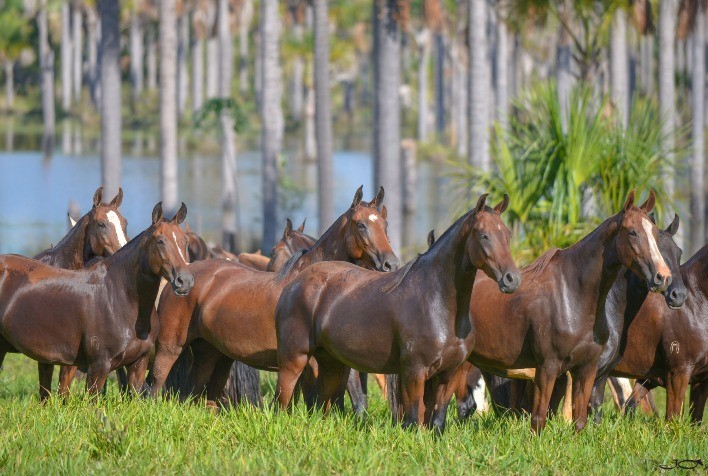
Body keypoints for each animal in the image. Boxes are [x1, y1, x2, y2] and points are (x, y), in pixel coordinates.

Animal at [0, 202, 194, 396]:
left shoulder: (138, 364)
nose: (184, 281)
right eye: (160, 241)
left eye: (185, 241)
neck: (119, 297)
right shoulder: (99, 366)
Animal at [144, 186, 400, 405]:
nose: (391, 264)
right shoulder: (311, 365)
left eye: (385, 225)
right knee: (155, 384)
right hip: (170, 348)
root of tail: (179, 279)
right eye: (361, 225)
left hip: (209, 352)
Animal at [274, 193, 521, 432]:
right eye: (483, 235)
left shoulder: (449, 374)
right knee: (282, 403)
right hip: (294, 359)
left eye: (507, 234)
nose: (512, 279)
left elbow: (437, 423)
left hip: (331, 363)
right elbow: (413, 421)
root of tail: (294, 283)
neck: (438, 304)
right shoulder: (414, 372)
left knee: (317, 403)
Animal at [428, 190, 672, 433]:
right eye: (632, 232)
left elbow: (579, 421)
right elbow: (539, 420)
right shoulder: (548, 368)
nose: (663, 276)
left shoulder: (585, 370)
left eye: (654, 233)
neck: (572, 295)